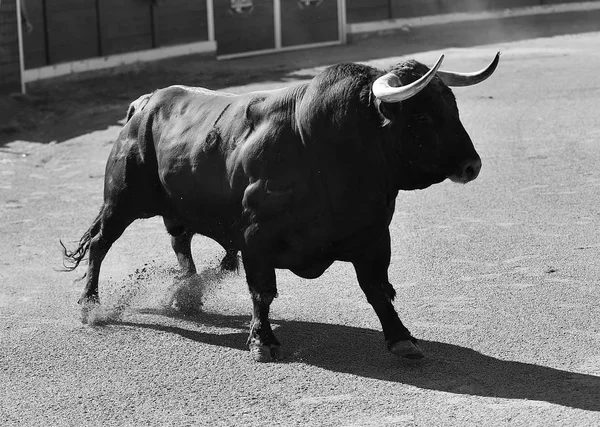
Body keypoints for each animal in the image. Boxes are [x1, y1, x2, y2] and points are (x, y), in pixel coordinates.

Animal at [63, 52, 500, 362]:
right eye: (422, 116)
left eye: (452, 106)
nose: (472, 166)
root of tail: (145, 103)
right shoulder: (257, 237)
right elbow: (263, 291)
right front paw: (263, 342)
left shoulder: (374, 236)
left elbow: (378, 289)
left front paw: (401, 339)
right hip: (121, 202)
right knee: (101, 245)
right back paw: (90, 306)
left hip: (176, 207)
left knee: (180, 241)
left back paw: (188, 294)